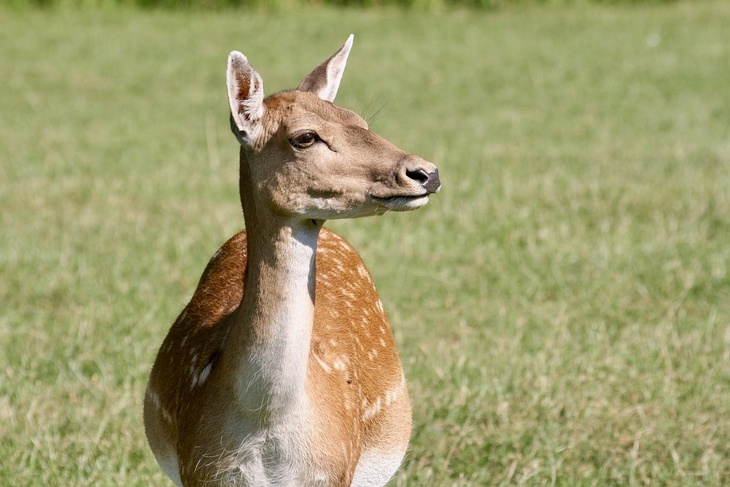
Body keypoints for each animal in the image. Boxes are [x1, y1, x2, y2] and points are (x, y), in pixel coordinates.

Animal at [141, 35, 438, 487]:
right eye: (305, 137)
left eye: (360, 121)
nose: (425, 172)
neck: (266, 425)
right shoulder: (199, 471)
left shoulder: (335, 471)